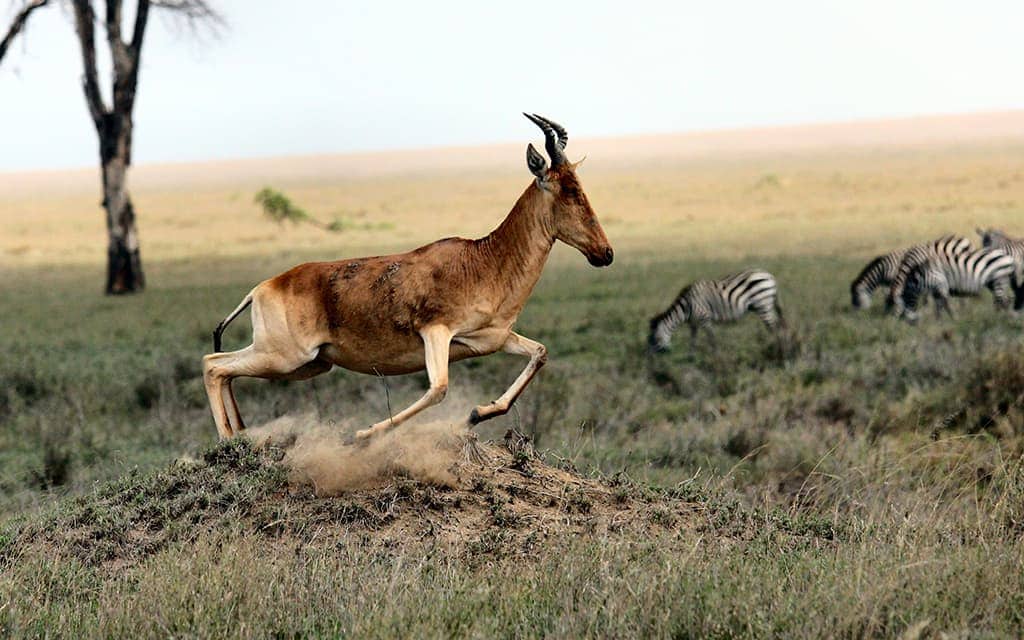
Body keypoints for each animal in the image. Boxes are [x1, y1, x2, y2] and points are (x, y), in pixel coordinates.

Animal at [202, 114, 614, 441]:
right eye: (568, 190)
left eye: (580, 186)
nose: (605, 253)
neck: (482, 259)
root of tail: (262, 288)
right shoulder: (436, 332)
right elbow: (438, 389)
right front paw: (364, 433)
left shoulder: (492, 339)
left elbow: (540, 354)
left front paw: (477, 414)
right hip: (285, 356)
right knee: (213, 364)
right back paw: (228, 442)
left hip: (310, 364)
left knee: (226, 370)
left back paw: (241, 435)